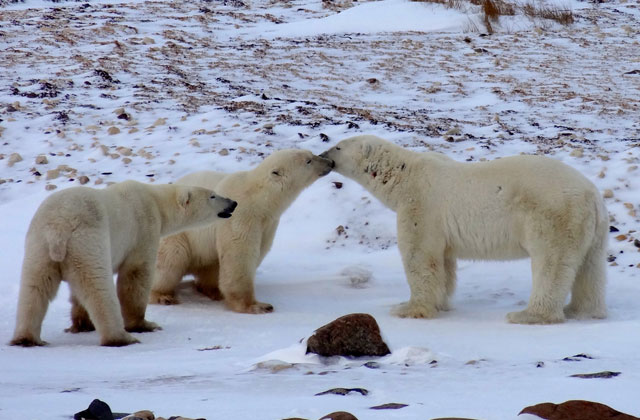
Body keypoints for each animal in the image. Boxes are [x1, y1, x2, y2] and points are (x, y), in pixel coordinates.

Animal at [10, 180, 237, 347]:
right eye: (213, 195)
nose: (233, 203)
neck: (156, 201)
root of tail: (58, 227)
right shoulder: (143, 228)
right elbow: (135, 275)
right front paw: (143, 324)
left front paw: (82, 324)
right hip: (87, 240)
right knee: (97, 287)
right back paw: (120, 337)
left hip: (39, 245)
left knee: (35, 287)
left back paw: (26, 338)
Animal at [150, 149, 334, 314]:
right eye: (308, 160)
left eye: (311, 154)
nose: (330, 162)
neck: (261, 200)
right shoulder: (242, 214)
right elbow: (239, 254)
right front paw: (256, 306)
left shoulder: (268, 223)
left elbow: (256, 250)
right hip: (177, 234)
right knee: (170, 260)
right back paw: (162, 295)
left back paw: (212, 290)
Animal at [320, 135, 608, 324]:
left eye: (338, 146)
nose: (323, 156)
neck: (405, 175)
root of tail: (591, 194)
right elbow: (444, 264)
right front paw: (440, 303)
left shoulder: (422, 206)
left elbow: (419, 256)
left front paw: (408, 308)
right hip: (592, 228)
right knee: (590, 267)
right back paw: (581, 311)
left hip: (552, 217)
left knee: (551, 264)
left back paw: (529, 314)